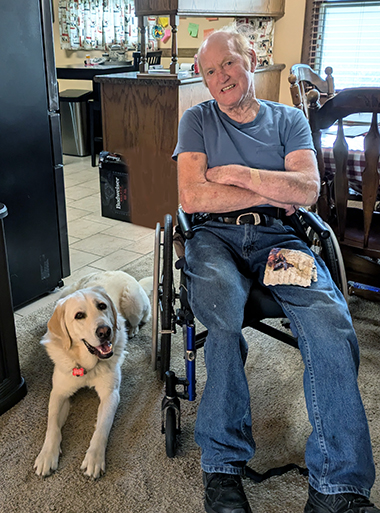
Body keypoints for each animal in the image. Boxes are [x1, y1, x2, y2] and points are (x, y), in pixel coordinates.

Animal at [34, 286, 126, 478]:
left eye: (102, 306)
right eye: (79, 316)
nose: (105, 331)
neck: (86, 365)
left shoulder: (110, 394)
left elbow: (103, 426)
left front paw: (94, 458)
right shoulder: (58, 393)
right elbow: (52, 425)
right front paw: (47, 455)